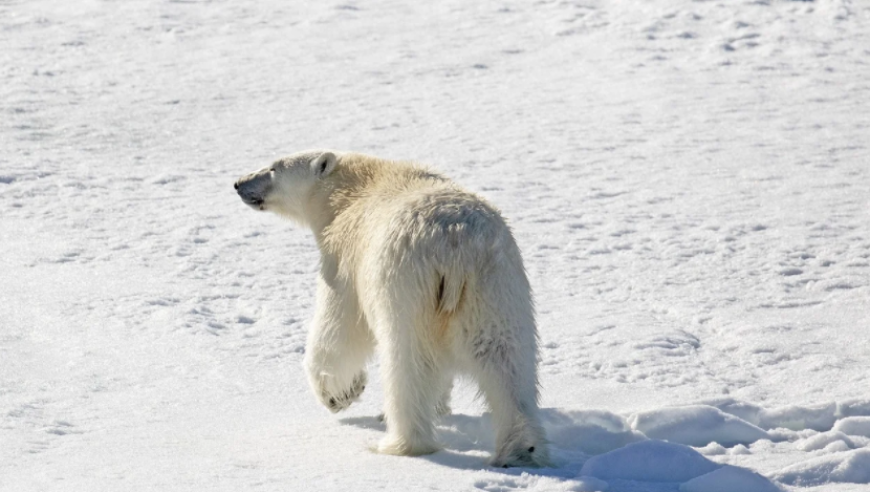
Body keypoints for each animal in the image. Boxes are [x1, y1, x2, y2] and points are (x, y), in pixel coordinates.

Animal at [235, 151, 548, 468]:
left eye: (272, 168)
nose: (238, 183)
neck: (353, 189)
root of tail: (456, 244)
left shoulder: (345, 260)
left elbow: (338, 329)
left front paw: (341, 394)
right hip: (495, 287)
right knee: (506, 359)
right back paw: (520, 450)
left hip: (407, 285)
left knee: (408, 363)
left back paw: (400, 442)